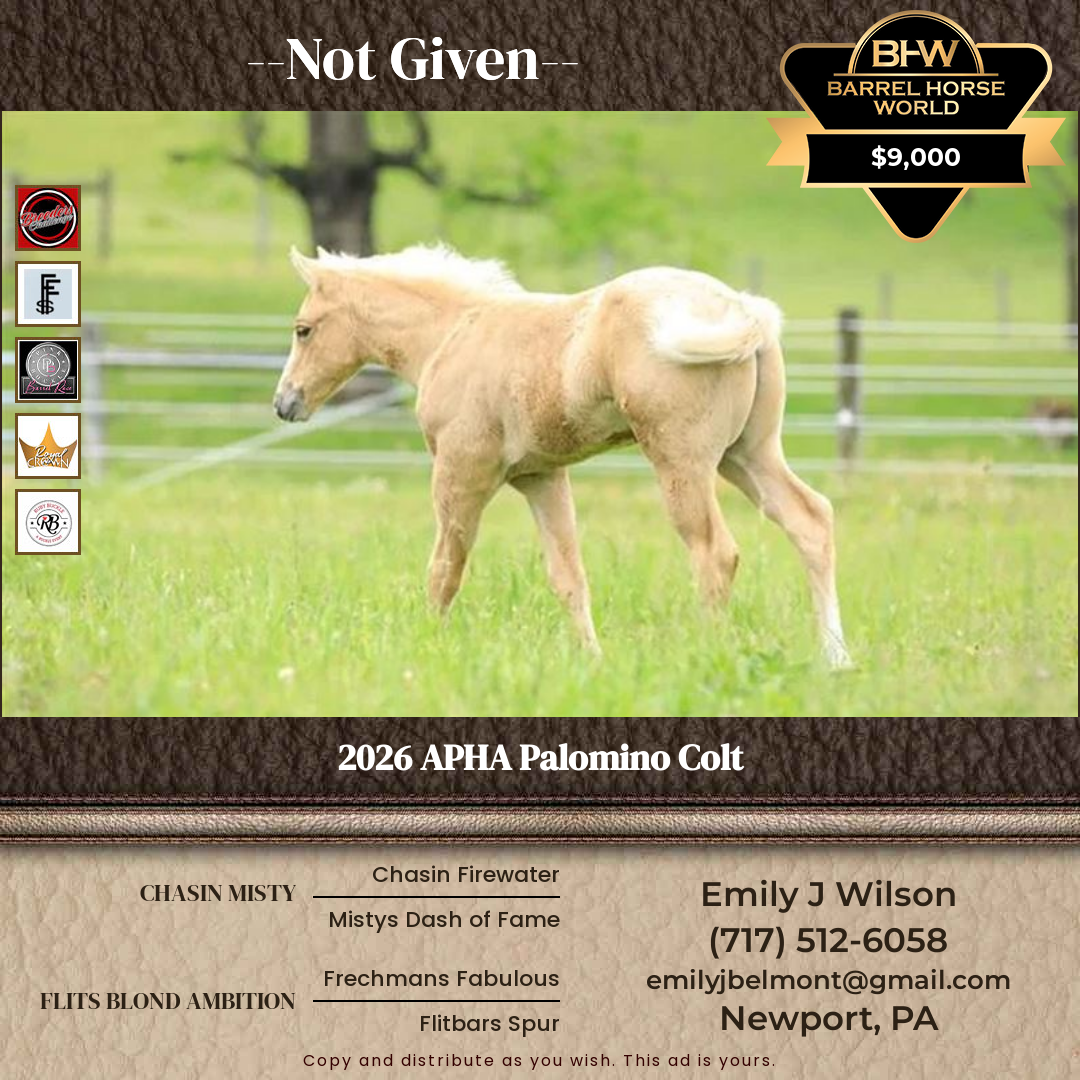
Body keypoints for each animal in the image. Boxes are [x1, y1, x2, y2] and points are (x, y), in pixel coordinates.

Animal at [274, 244, 851, 668]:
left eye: (303, 329)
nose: (285, 403)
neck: (453, 334)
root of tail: (741, 309)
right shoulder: (542, 477)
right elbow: (568, 577)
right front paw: (593, 662)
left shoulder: (461, 472)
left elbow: (445, 569)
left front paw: (425, 648)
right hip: (746, 455)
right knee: (811, 519)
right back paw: (836, 659)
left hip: (682, 463)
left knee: (716, 553)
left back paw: (708, 654)